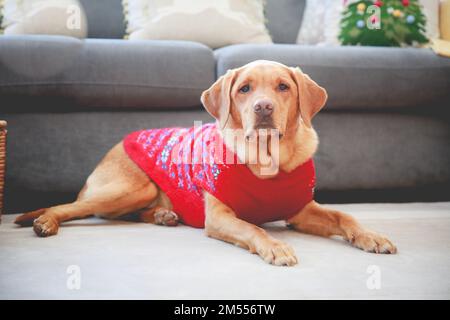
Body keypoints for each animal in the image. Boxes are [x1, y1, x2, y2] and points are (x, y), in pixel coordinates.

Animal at [14, 60, 396, 264]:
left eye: (283, 87)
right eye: (244, 89)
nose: (263, 108)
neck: (267, 161)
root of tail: (118, 143)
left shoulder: (300, 210)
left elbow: (345, 216)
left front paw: (371, 236)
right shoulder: (221, 217)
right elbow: (253, 228)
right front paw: (275, 247)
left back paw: (164, 216)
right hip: (130, 188)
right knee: (71, 207)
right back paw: (45, 222)